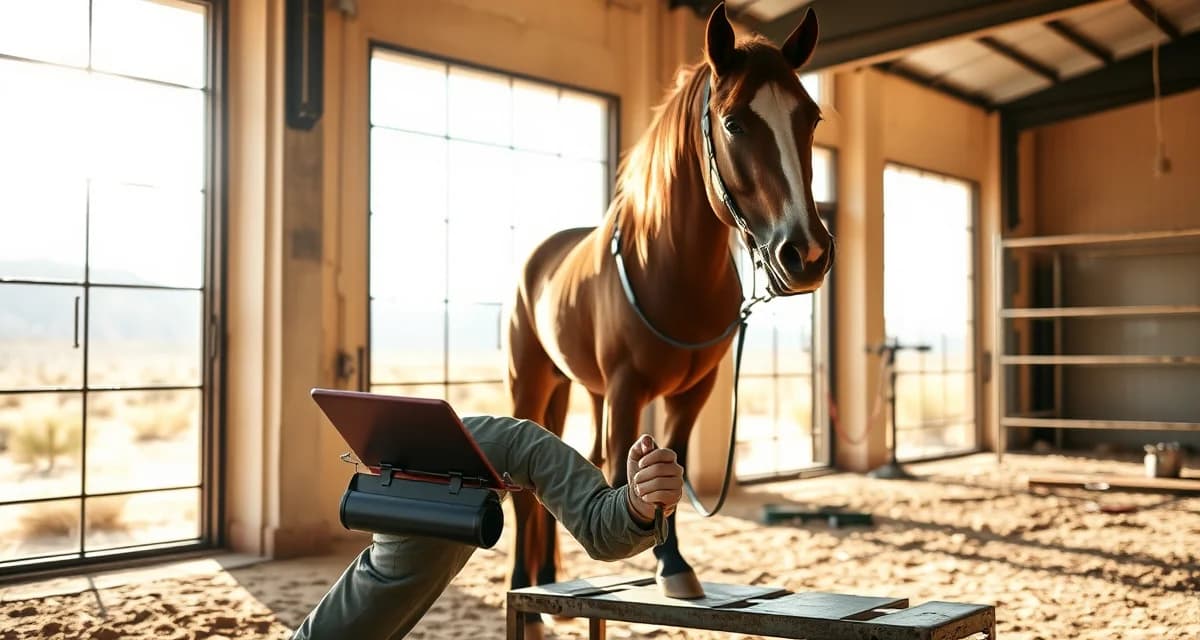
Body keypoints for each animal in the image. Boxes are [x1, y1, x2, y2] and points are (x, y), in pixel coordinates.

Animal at [504, 3, 833, 634]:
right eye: (733, 123)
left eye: (811, 116)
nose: (805, 254)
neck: (671, 270)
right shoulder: (628, 390)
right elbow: (626, 469)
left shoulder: (692, 392)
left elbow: (670, 467)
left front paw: (674, 565)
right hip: (530, 381)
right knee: (523, 490)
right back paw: (526, 597)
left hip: (578, 387)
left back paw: (547, 582)